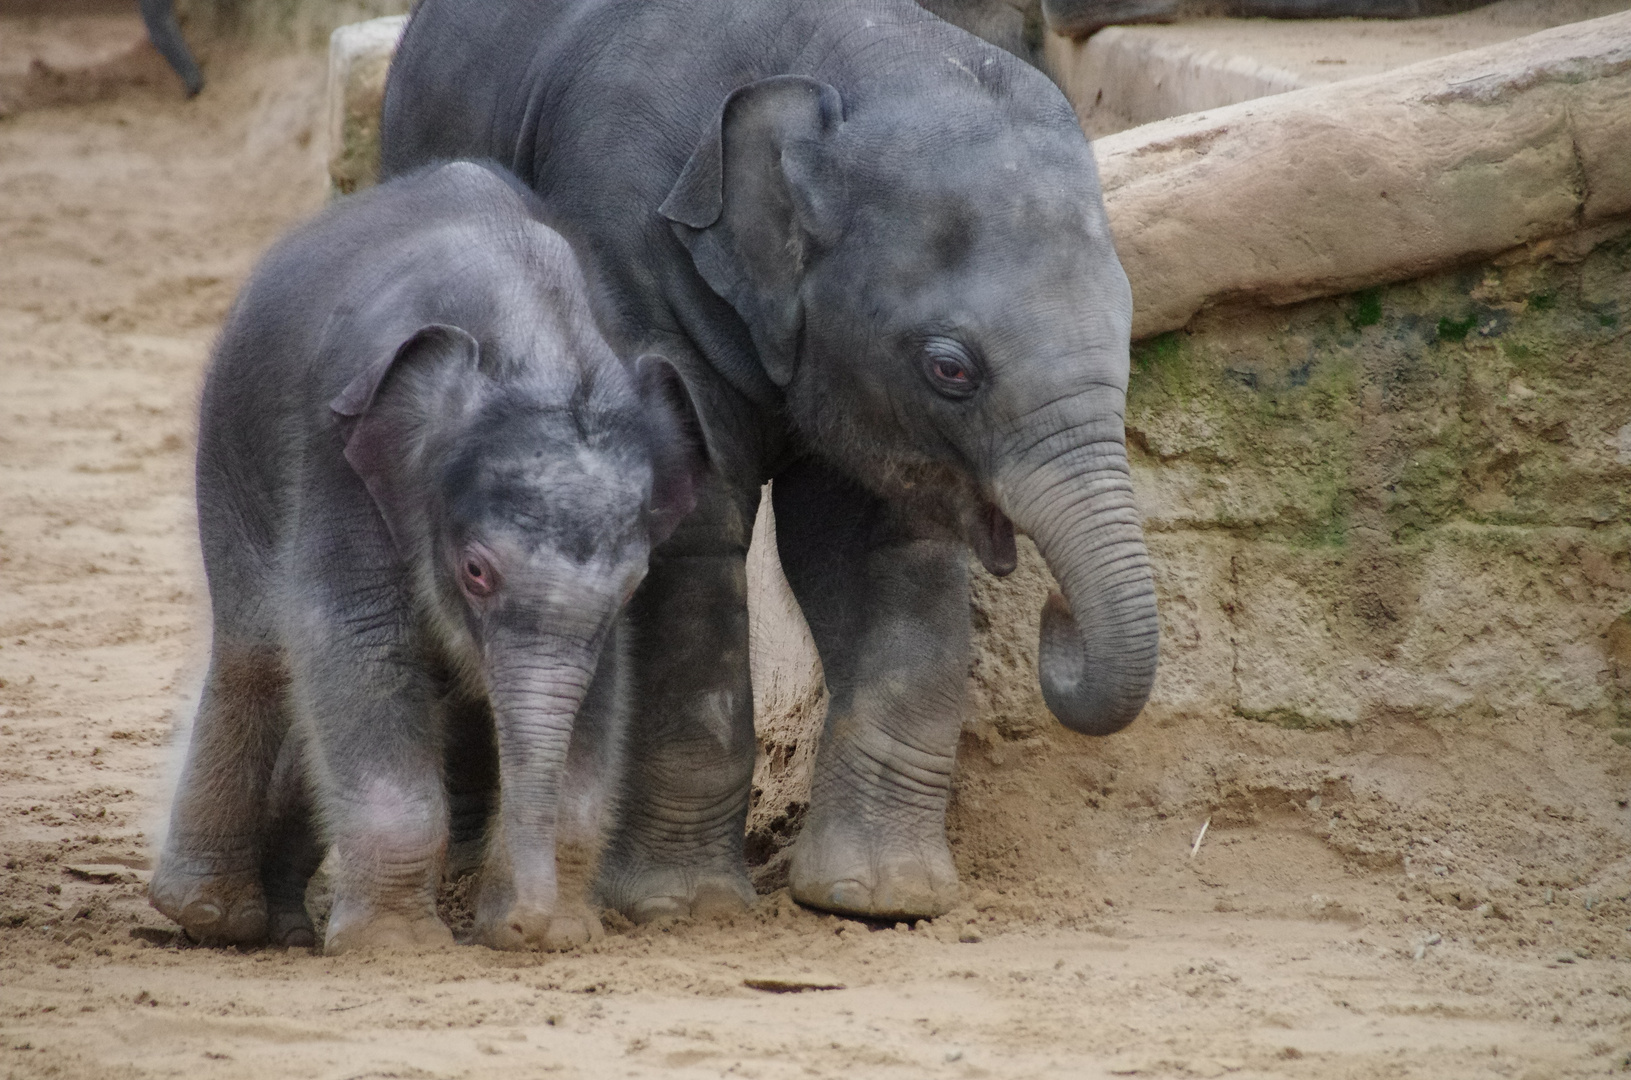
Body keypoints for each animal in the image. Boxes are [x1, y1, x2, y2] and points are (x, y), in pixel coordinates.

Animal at [151, 160, 707, 959]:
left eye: (635, 583)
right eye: (476, 571)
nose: (525, 924)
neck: (535, 337)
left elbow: (603, 683)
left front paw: (563, 932)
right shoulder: (341, 458)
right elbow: (353, 637)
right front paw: (394, 946)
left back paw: (282, 926)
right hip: (230, 443)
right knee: (255, 650)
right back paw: (212, 917)